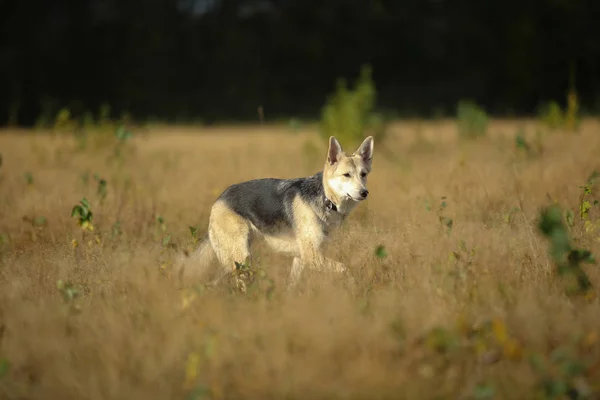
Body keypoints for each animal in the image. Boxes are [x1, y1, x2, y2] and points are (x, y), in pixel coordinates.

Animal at [177, 135, 376, 288]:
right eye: (346, 175)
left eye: (363, 174)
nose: (364, 193)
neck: (327, 199)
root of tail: (219, 199)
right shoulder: (312, 257)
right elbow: (346, 269)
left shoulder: (301, 258)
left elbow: (292, 285)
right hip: (240, 260)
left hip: (235, 259)